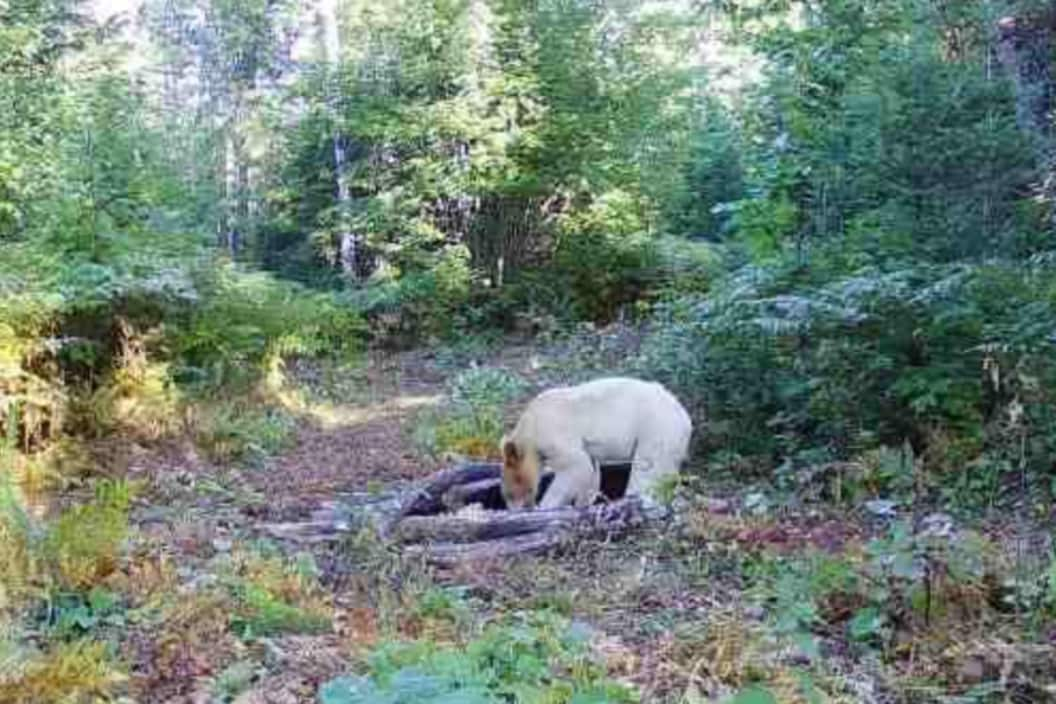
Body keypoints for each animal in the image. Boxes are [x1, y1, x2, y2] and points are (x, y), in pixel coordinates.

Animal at [500, 377, 692, 508]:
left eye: (510, 491)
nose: (514, 508)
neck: (530, 426)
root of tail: (685, 417)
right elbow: (590, 471)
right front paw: (583, 503)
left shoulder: (552, 434)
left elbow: (576, 466)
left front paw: (546, 506)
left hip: (655, 428)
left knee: (646, 469)